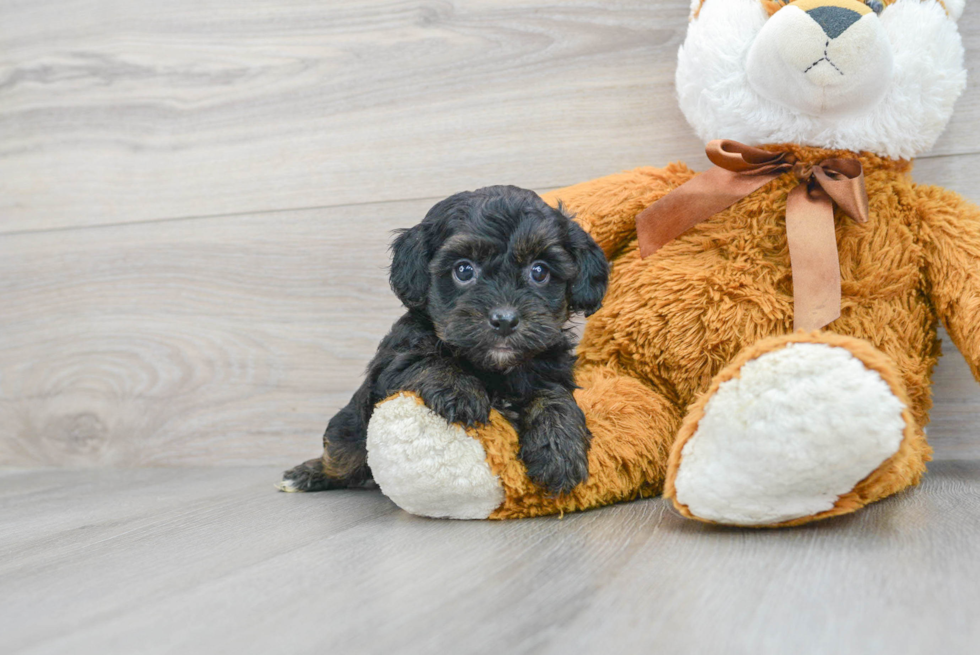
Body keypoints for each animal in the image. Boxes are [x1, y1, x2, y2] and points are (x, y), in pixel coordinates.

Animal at [280, 187, 608, 494]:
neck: (493, 368)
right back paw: (308, 473)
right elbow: (426, 359)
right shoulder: (393, 362)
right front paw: (460, 391)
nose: (504, 319)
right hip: (349, 430)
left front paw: (559, 448)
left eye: (539, 271)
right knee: (341, 457)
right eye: (464, 270)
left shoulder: (549, 368)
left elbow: (554, 396)